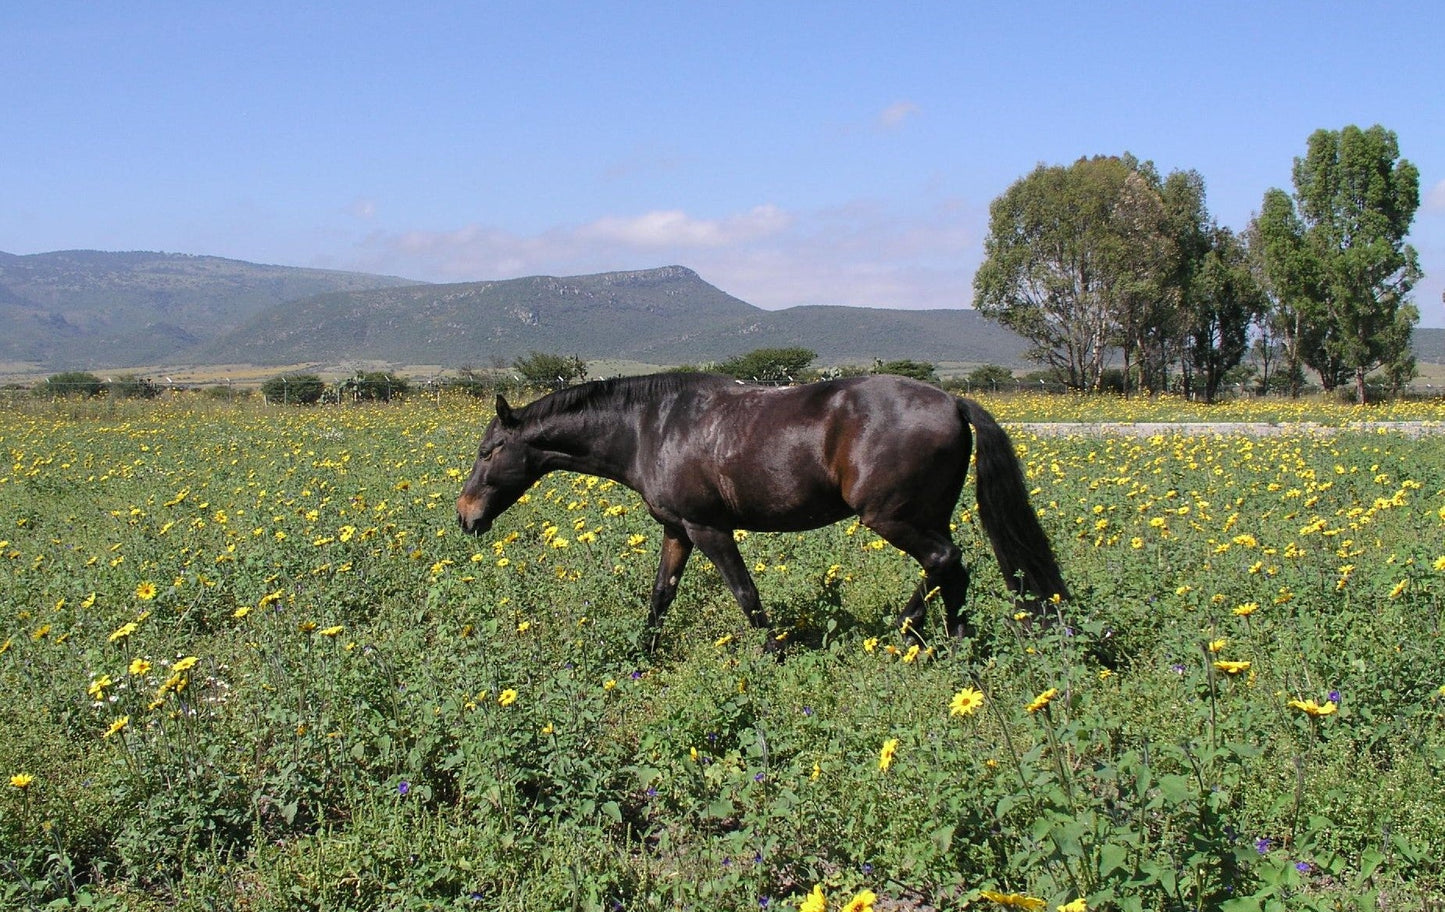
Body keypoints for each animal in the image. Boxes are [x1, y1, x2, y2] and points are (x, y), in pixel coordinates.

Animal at [456, 375, 1069, 653]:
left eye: (489, 451)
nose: (465, 516)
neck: (649, 427)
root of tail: (952, 400)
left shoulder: (709, 528)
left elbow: (745, 594)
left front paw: (774, 654)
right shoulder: (677, 530)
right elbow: (661, 595)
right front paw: (639, 653)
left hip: (891, 518)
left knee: (946, 562)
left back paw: (923, 632)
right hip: (922, 516)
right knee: (949, 569)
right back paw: (939, 637)